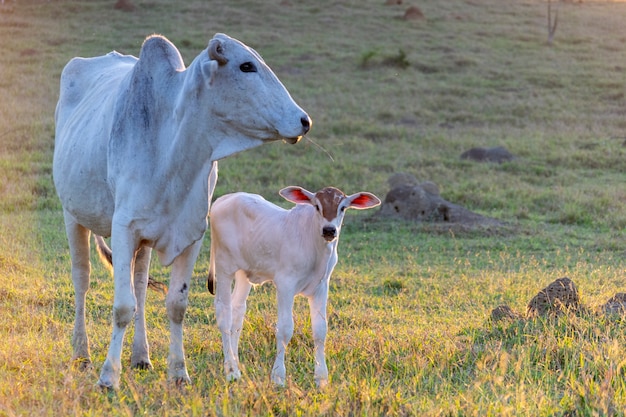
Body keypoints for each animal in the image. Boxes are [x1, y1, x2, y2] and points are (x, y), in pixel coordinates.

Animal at [52, 34, 310, 388]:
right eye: (246, 66)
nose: (304, 121)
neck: (172, 146)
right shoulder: (123, 229)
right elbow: (122, 307)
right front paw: (108, 377)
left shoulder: (191, 235)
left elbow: (176, 304)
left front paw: (178, 372)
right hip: (72, 215)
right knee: (82, 280)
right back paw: (82, 354)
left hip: (142, 242)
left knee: (139, 286)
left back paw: (141, 356)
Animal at [207, 185, 378, 386]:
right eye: (317, 206)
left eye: (342, 207)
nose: (329, 230)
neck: (315, 248)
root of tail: (223, 199)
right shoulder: (285, 284)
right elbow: (285, 329)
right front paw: (278, 376)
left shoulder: (321, 286)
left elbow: (320, 330)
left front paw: (321, 378)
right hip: (224, 266)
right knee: (224, 312)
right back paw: (231, 370)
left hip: (244, 273)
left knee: (237, 309)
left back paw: (236, 363)